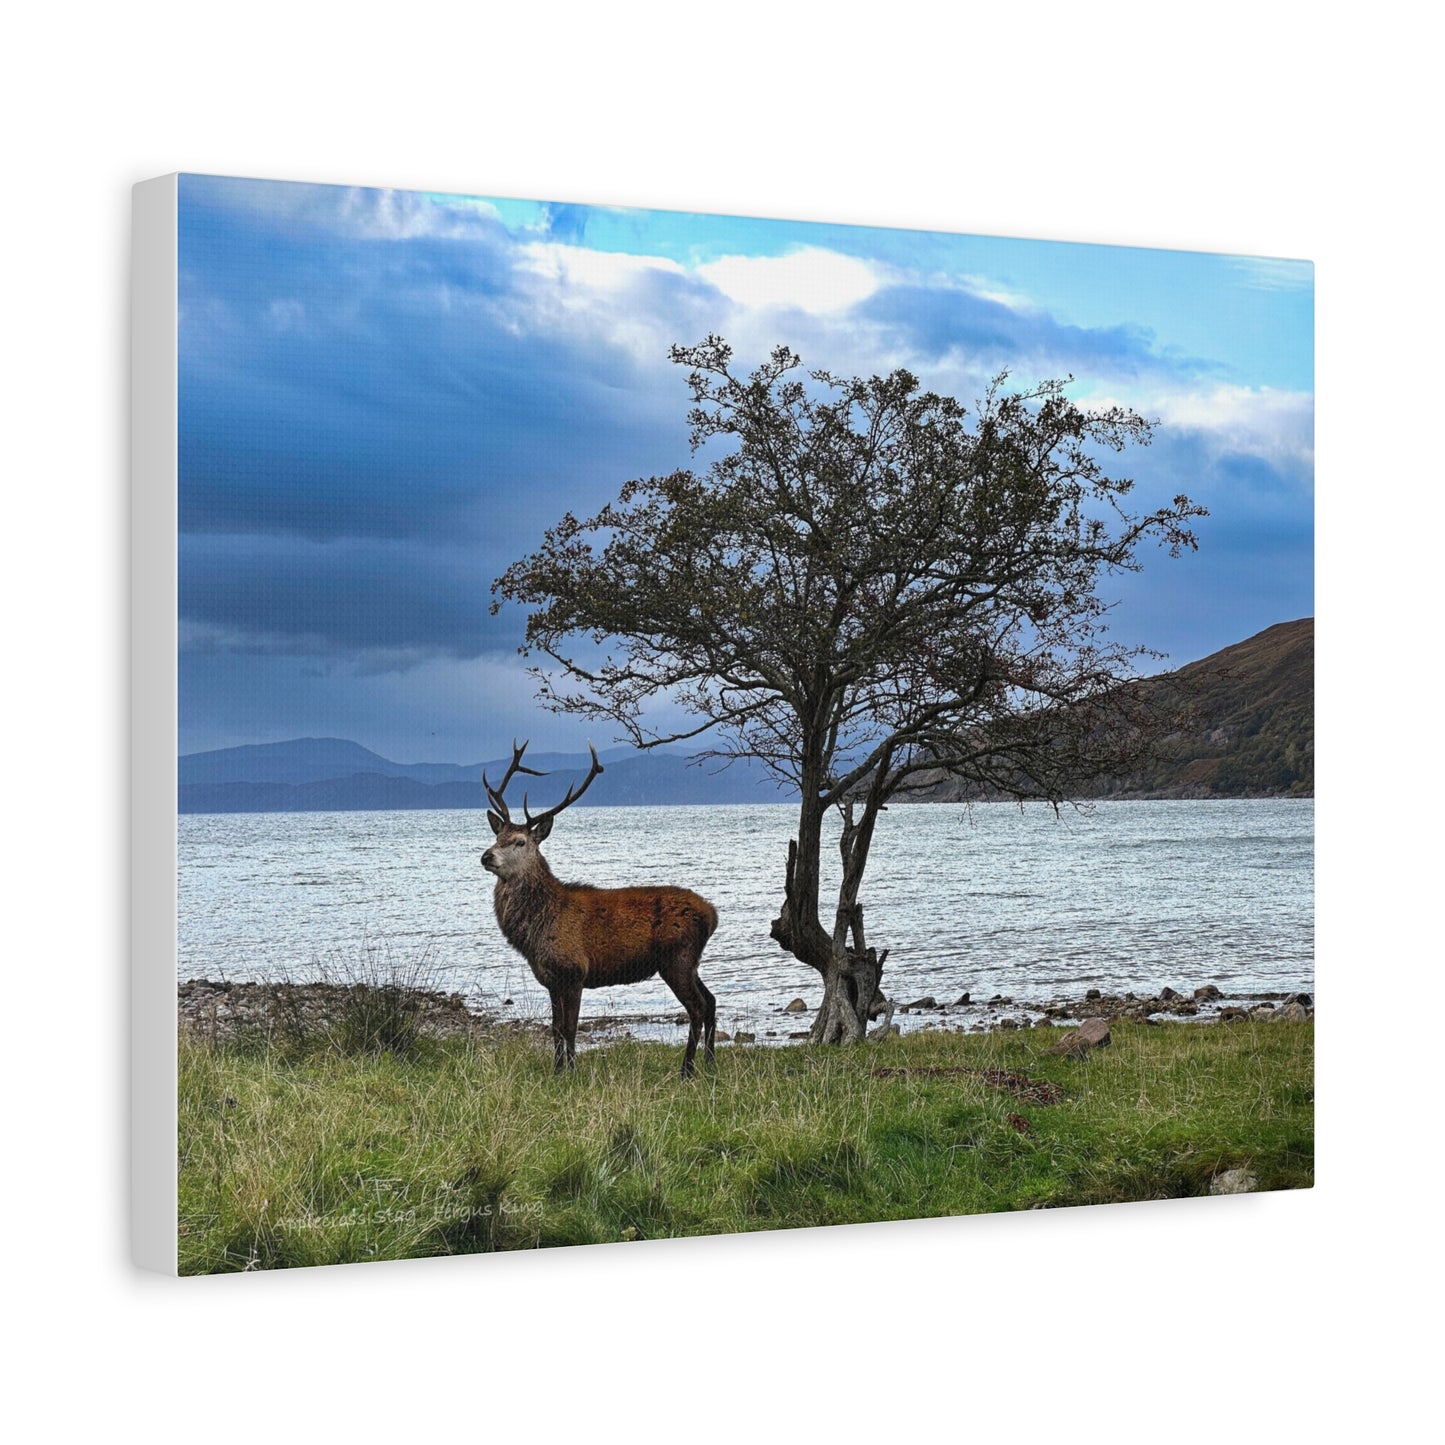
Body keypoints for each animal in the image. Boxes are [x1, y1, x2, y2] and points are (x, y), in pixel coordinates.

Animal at [479, 741, 720, 1079]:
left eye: (520, 841)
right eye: (497, 836)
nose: (487, 856)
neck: (536, 933)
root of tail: (713, 914)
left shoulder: (574, 971)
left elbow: (569, 1028)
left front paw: (572, 1072)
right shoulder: (551, 978)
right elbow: (555, 1028)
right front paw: (557, 1071)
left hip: (678, 958)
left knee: (697, 1007)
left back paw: (687, 1070)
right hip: (691, 962)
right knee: (711, 1001)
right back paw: (710, 1062)